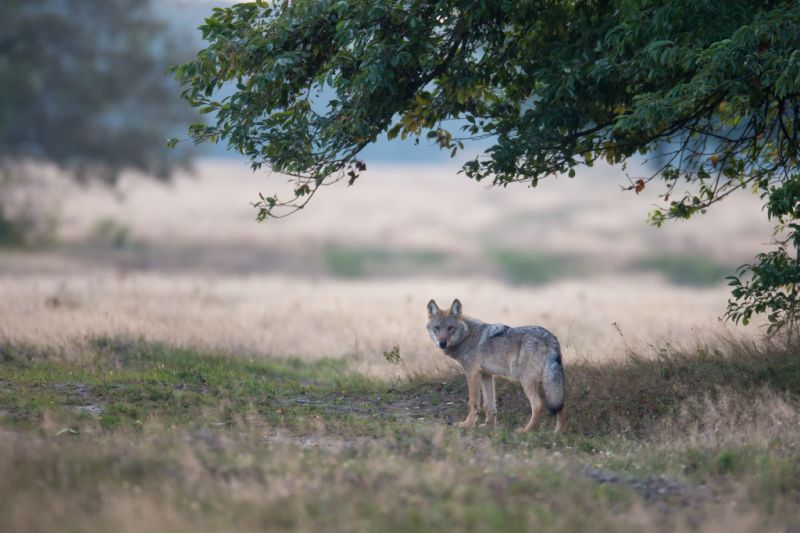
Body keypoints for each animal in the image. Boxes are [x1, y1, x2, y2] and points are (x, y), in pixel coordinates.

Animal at [428, 300, 564, 432]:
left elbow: (473, 402)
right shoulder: (486, 375)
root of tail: (549, 336)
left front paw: (467, 425)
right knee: (560, 404)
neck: (466, 336)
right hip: (551, 382)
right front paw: (488, 426)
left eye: (450, 328)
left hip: (527, 381)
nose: (442, 343)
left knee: (538, 405)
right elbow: (489, 405)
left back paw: (526, 430)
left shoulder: (472, 374)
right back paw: (558, 432)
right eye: (437, 328)